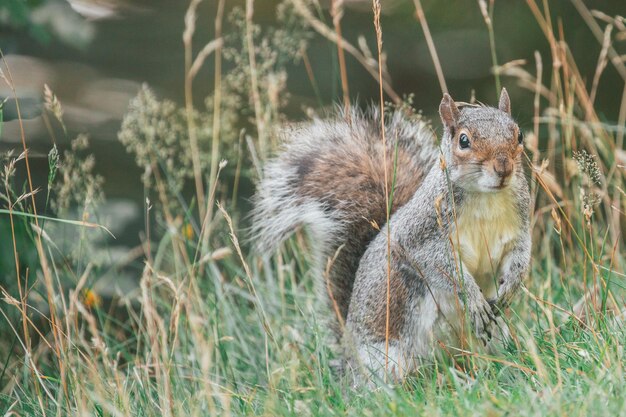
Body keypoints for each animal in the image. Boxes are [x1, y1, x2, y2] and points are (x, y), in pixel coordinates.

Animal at [251, 89, 528, 382]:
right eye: (464, 140)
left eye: (519, 135)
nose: (503, 168)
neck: (486, 197)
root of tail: (348, 364)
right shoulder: (421, 237)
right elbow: (443, 268)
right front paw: (473, 299)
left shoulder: (518, 230)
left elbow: (520, 257)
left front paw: (511, 287)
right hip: (386, 358)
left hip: (493, 335)